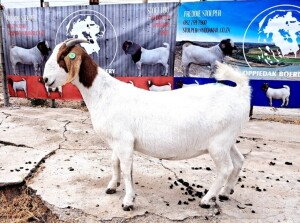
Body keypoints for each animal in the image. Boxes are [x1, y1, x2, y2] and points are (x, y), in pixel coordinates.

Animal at [42, 39, 251, 212]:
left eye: (61, 57)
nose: (45, 80)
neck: (103, 93)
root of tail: (240, 93)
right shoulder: (116, 141)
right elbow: (114, 162)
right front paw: (112, 186)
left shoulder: (124, 141)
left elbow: (127, 169)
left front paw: (128, 201)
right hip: (228, 141)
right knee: (239, 161)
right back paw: (224, 193)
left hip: (218, 144)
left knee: (225, 168)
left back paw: (207, 199)